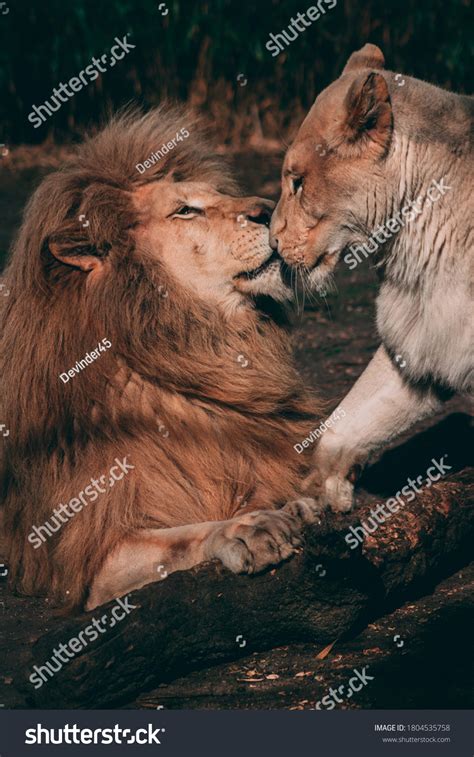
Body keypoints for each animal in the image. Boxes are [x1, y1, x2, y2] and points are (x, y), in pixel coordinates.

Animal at [0, 106, 323, 612]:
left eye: (219, 195)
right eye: (185, 210)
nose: (270, 210)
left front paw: (296, 507)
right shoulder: (91, 556)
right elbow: (180, 538)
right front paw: (249, 528)